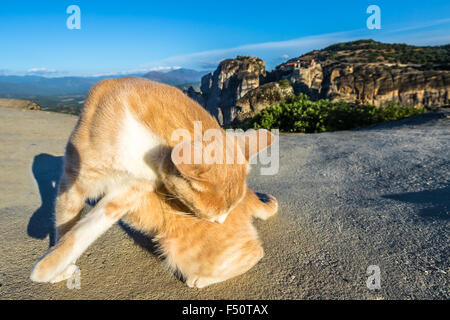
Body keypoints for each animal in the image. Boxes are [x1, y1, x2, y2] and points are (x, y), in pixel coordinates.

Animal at [29, 77, 274, 282]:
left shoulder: (128, 192)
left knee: (255, 252)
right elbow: (67, 226)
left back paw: (200, 280)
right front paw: (58, 265)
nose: (220, 223)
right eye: (211, 217)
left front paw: (50, 268)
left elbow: (86, 228)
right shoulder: (74, 180)